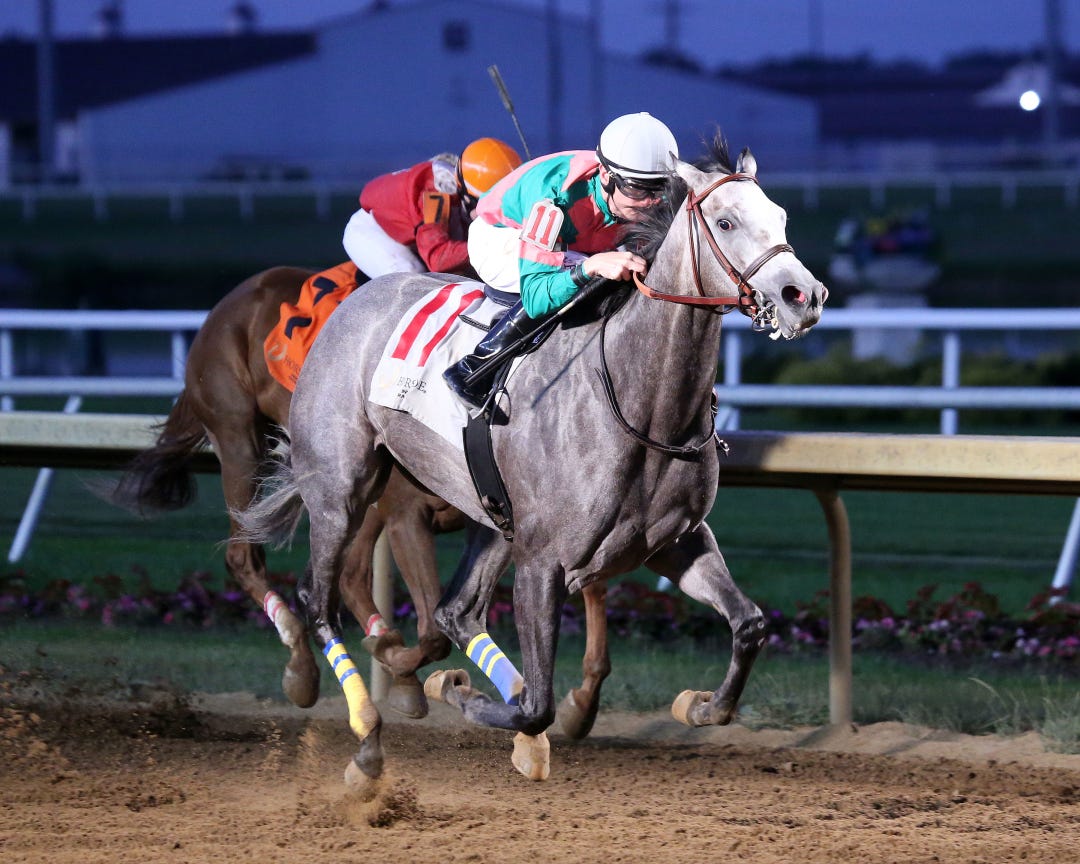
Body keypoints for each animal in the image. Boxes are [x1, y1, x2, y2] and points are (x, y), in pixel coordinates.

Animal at [108, 264, 612, 735]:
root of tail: (229, 302)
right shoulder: (408, 516)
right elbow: (432, 629)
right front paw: (399, 668)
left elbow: (583, 579)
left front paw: (581, 701)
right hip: (244, 445)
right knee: (248, 557)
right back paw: (303, 665)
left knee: (345, 575)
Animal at [238, 137, 827, 784]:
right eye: (725, 222)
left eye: (781, 217)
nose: (804, 297)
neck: (642, 403)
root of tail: (356, 300)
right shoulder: (543, 562)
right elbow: (536, 704)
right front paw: (462, 696)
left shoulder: (676, 542)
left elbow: (750, 625)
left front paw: (698, 706)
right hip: (342, 489)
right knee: (319, 601)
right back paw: (368, 734)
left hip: (493, 515)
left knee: (454, 611)